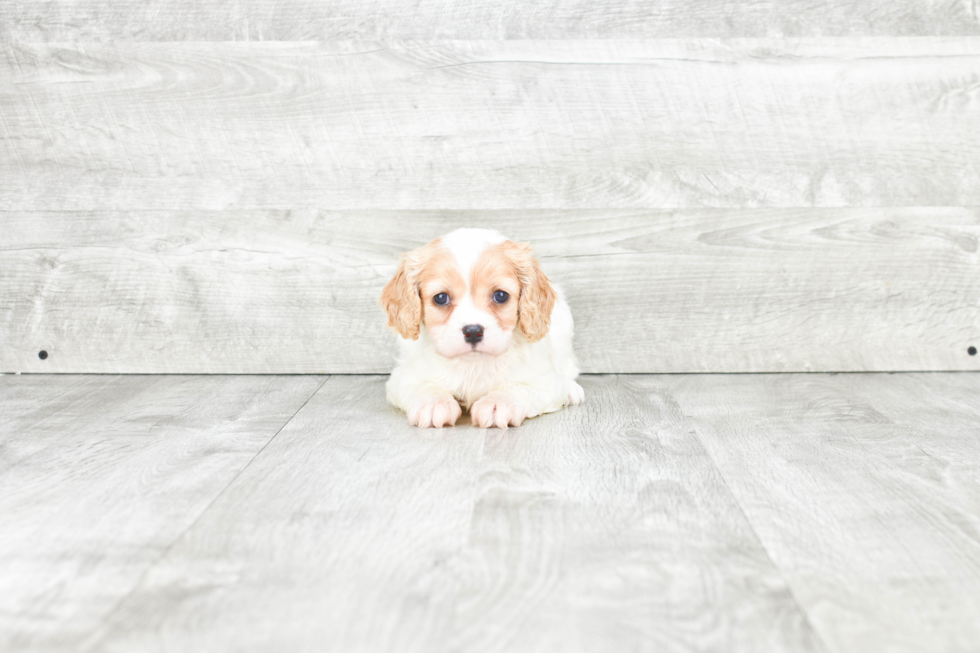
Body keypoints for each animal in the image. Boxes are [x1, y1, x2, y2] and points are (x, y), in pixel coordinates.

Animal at [380, 228, 580, 428]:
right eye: (441, 298)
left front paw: (498, 402)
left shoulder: (544, 383)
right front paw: (433, 402)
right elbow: (424, 385)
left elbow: (517, 386)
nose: (473, 331)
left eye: (500, 295)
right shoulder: (403, 378)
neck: (473, 364)